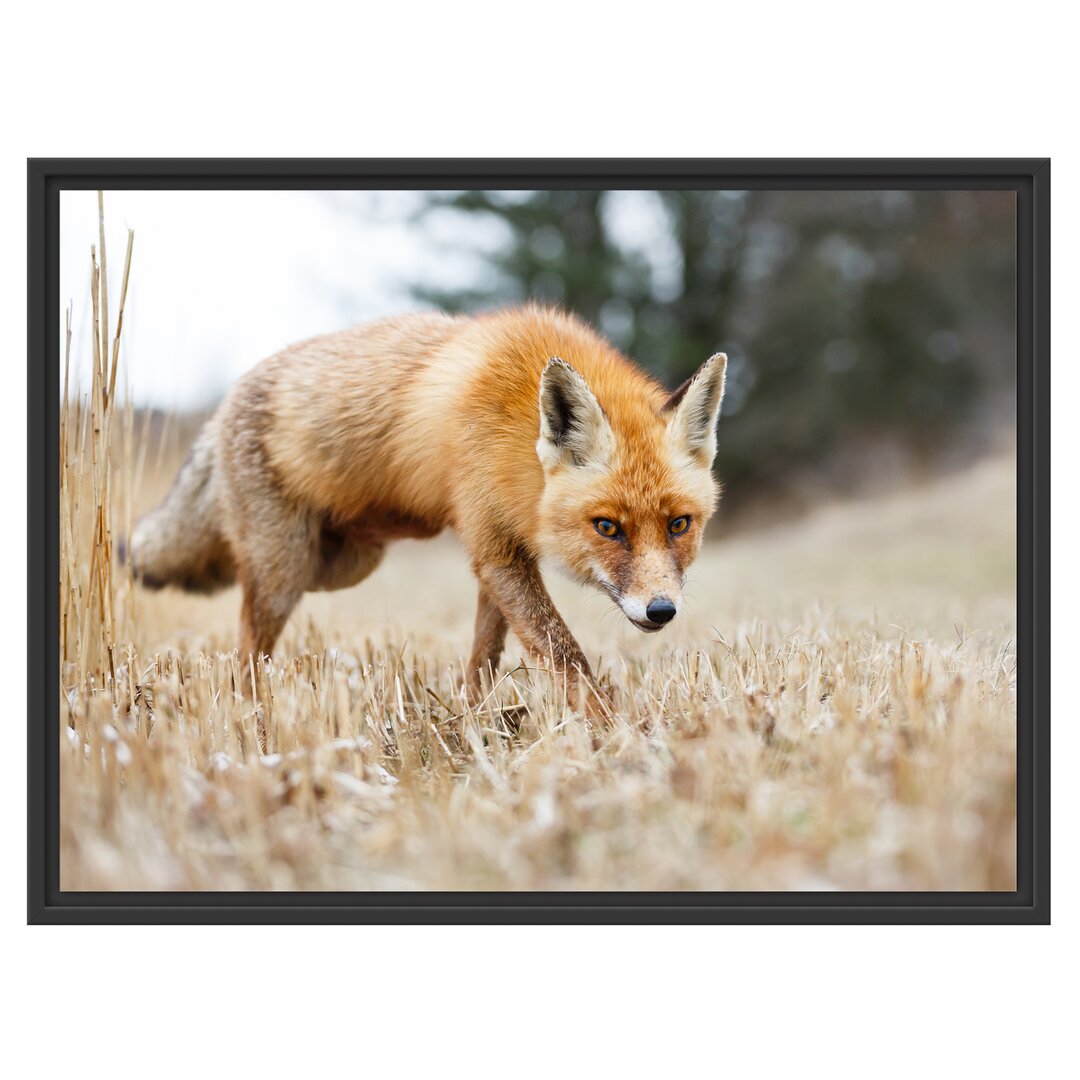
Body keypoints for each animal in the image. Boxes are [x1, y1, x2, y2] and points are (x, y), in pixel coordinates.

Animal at [130, 306, 730, 708]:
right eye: (607, 527)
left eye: (679, 524)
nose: (660, 610)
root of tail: (220, 408)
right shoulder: (494, 547)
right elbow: (564, 655)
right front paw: (611, 731)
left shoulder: (501, 552)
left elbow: (487, 653)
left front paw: (475, 717)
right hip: (286, 572)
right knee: (247, 639)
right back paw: (249, 710)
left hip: (340, 563)